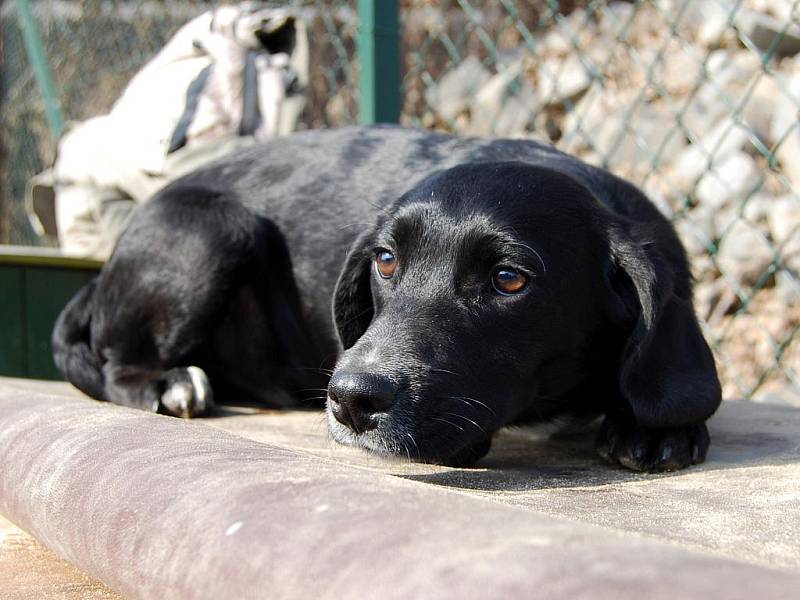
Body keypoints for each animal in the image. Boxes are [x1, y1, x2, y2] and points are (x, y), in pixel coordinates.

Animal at [53, 127, 720, 474]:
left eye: (509, 279)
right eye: (387, 260)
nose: (351, 399)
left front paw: (654, 428)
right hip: (213, 229)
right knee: (117, 365)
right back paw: (169, 384)